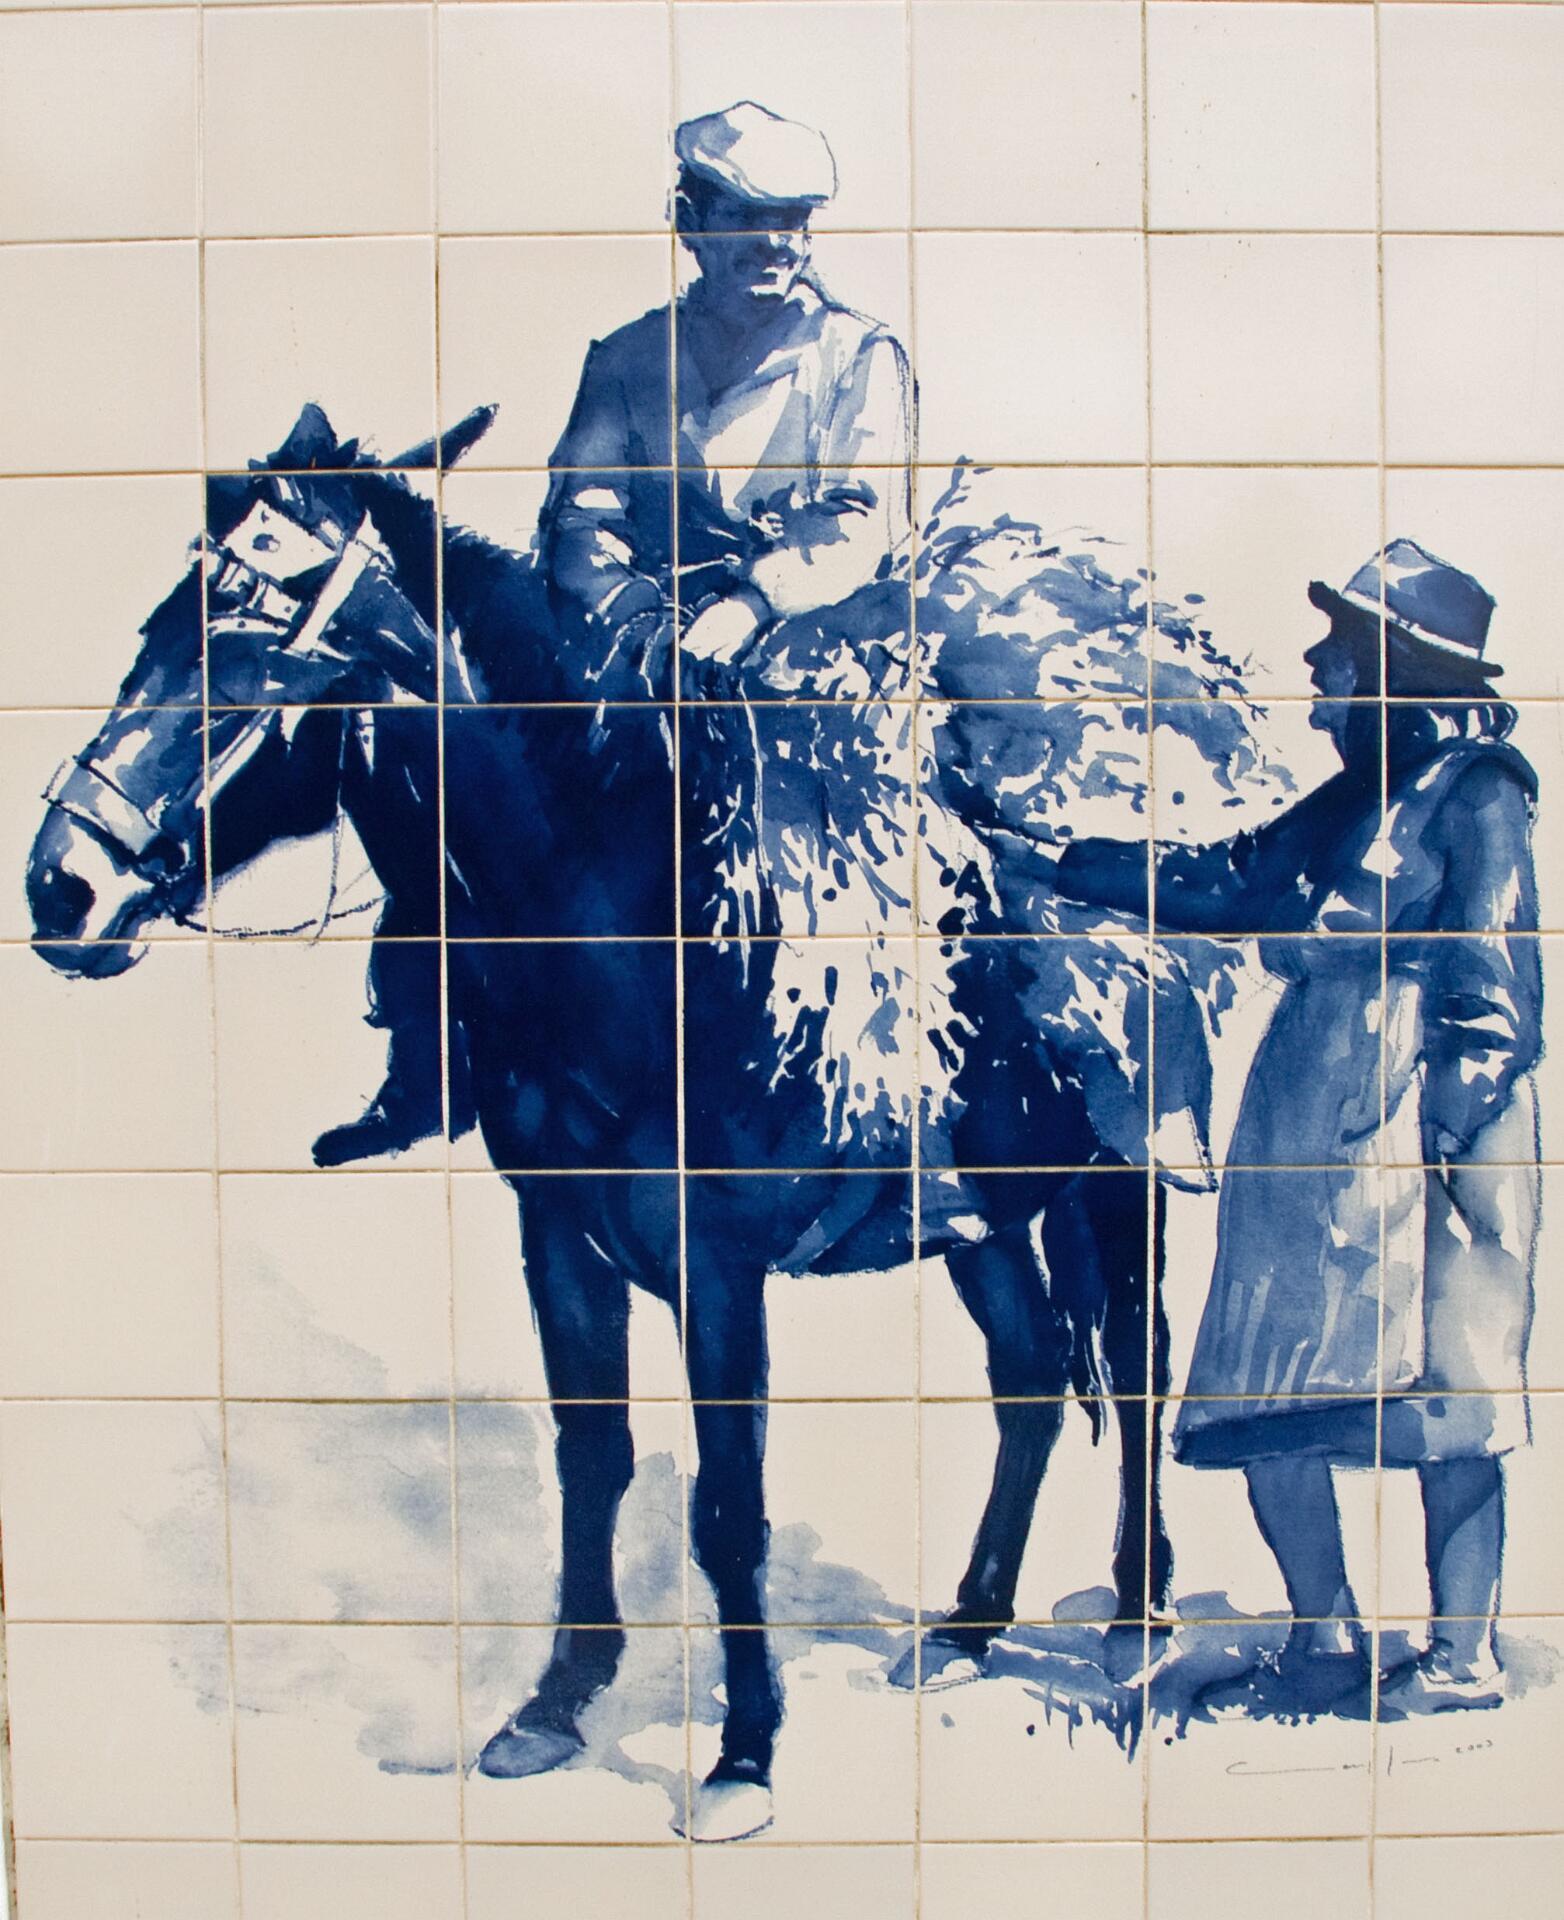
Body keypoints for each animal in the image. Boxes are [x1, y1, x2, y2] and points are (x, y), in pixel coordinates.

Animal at [26, 404, 1179, 1838]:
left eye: (245, 658)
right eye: (152, 632)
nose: (62, 887)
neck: (626, 929)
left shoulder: (716, 1265)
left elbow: (727, 1503)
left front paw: (744, 1754)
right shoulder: (560, 1242)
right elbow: (595, 1457)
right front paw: (556, 1702)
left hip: (1117, 1186)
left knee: (1138, 1361)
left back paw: (1137, 1621)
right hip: (986, 1216)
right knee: (1026, 1378)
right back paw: (967, 1625)